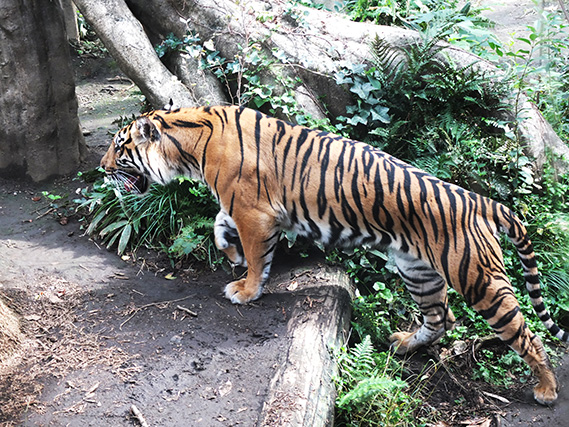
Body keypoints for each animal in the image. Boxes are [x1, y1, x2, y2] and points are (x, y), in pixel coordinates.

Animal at [101, 103, 568, 404]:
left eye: (119, 147)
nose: (102, 169)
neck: (189, 143)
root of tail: (482, 201)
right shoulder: (240, 208)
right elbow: (219, 227)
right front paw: (231, 255)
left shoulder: (254, 212)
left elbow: (256, 254)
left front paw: (246, 288)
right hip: (418, 270)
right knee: (442, 317)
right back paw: (404, 344)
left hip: (478, 279)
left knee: (526, 333)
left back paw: (546, 389)